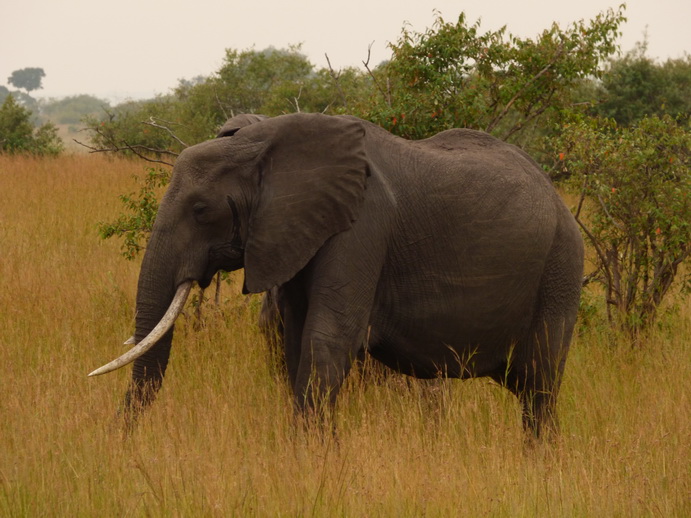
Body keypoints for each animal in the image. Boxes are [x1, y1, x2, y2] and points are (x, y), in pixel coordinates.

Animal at [89, 112, 580, 438]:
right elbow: (294, 342)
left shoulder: (362, 227)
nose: (115, 444)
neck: (269, 143)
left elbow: (326, 340)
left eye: (200, 210)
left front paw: (312, 463)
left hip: (561, 269)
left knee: (539, 387)